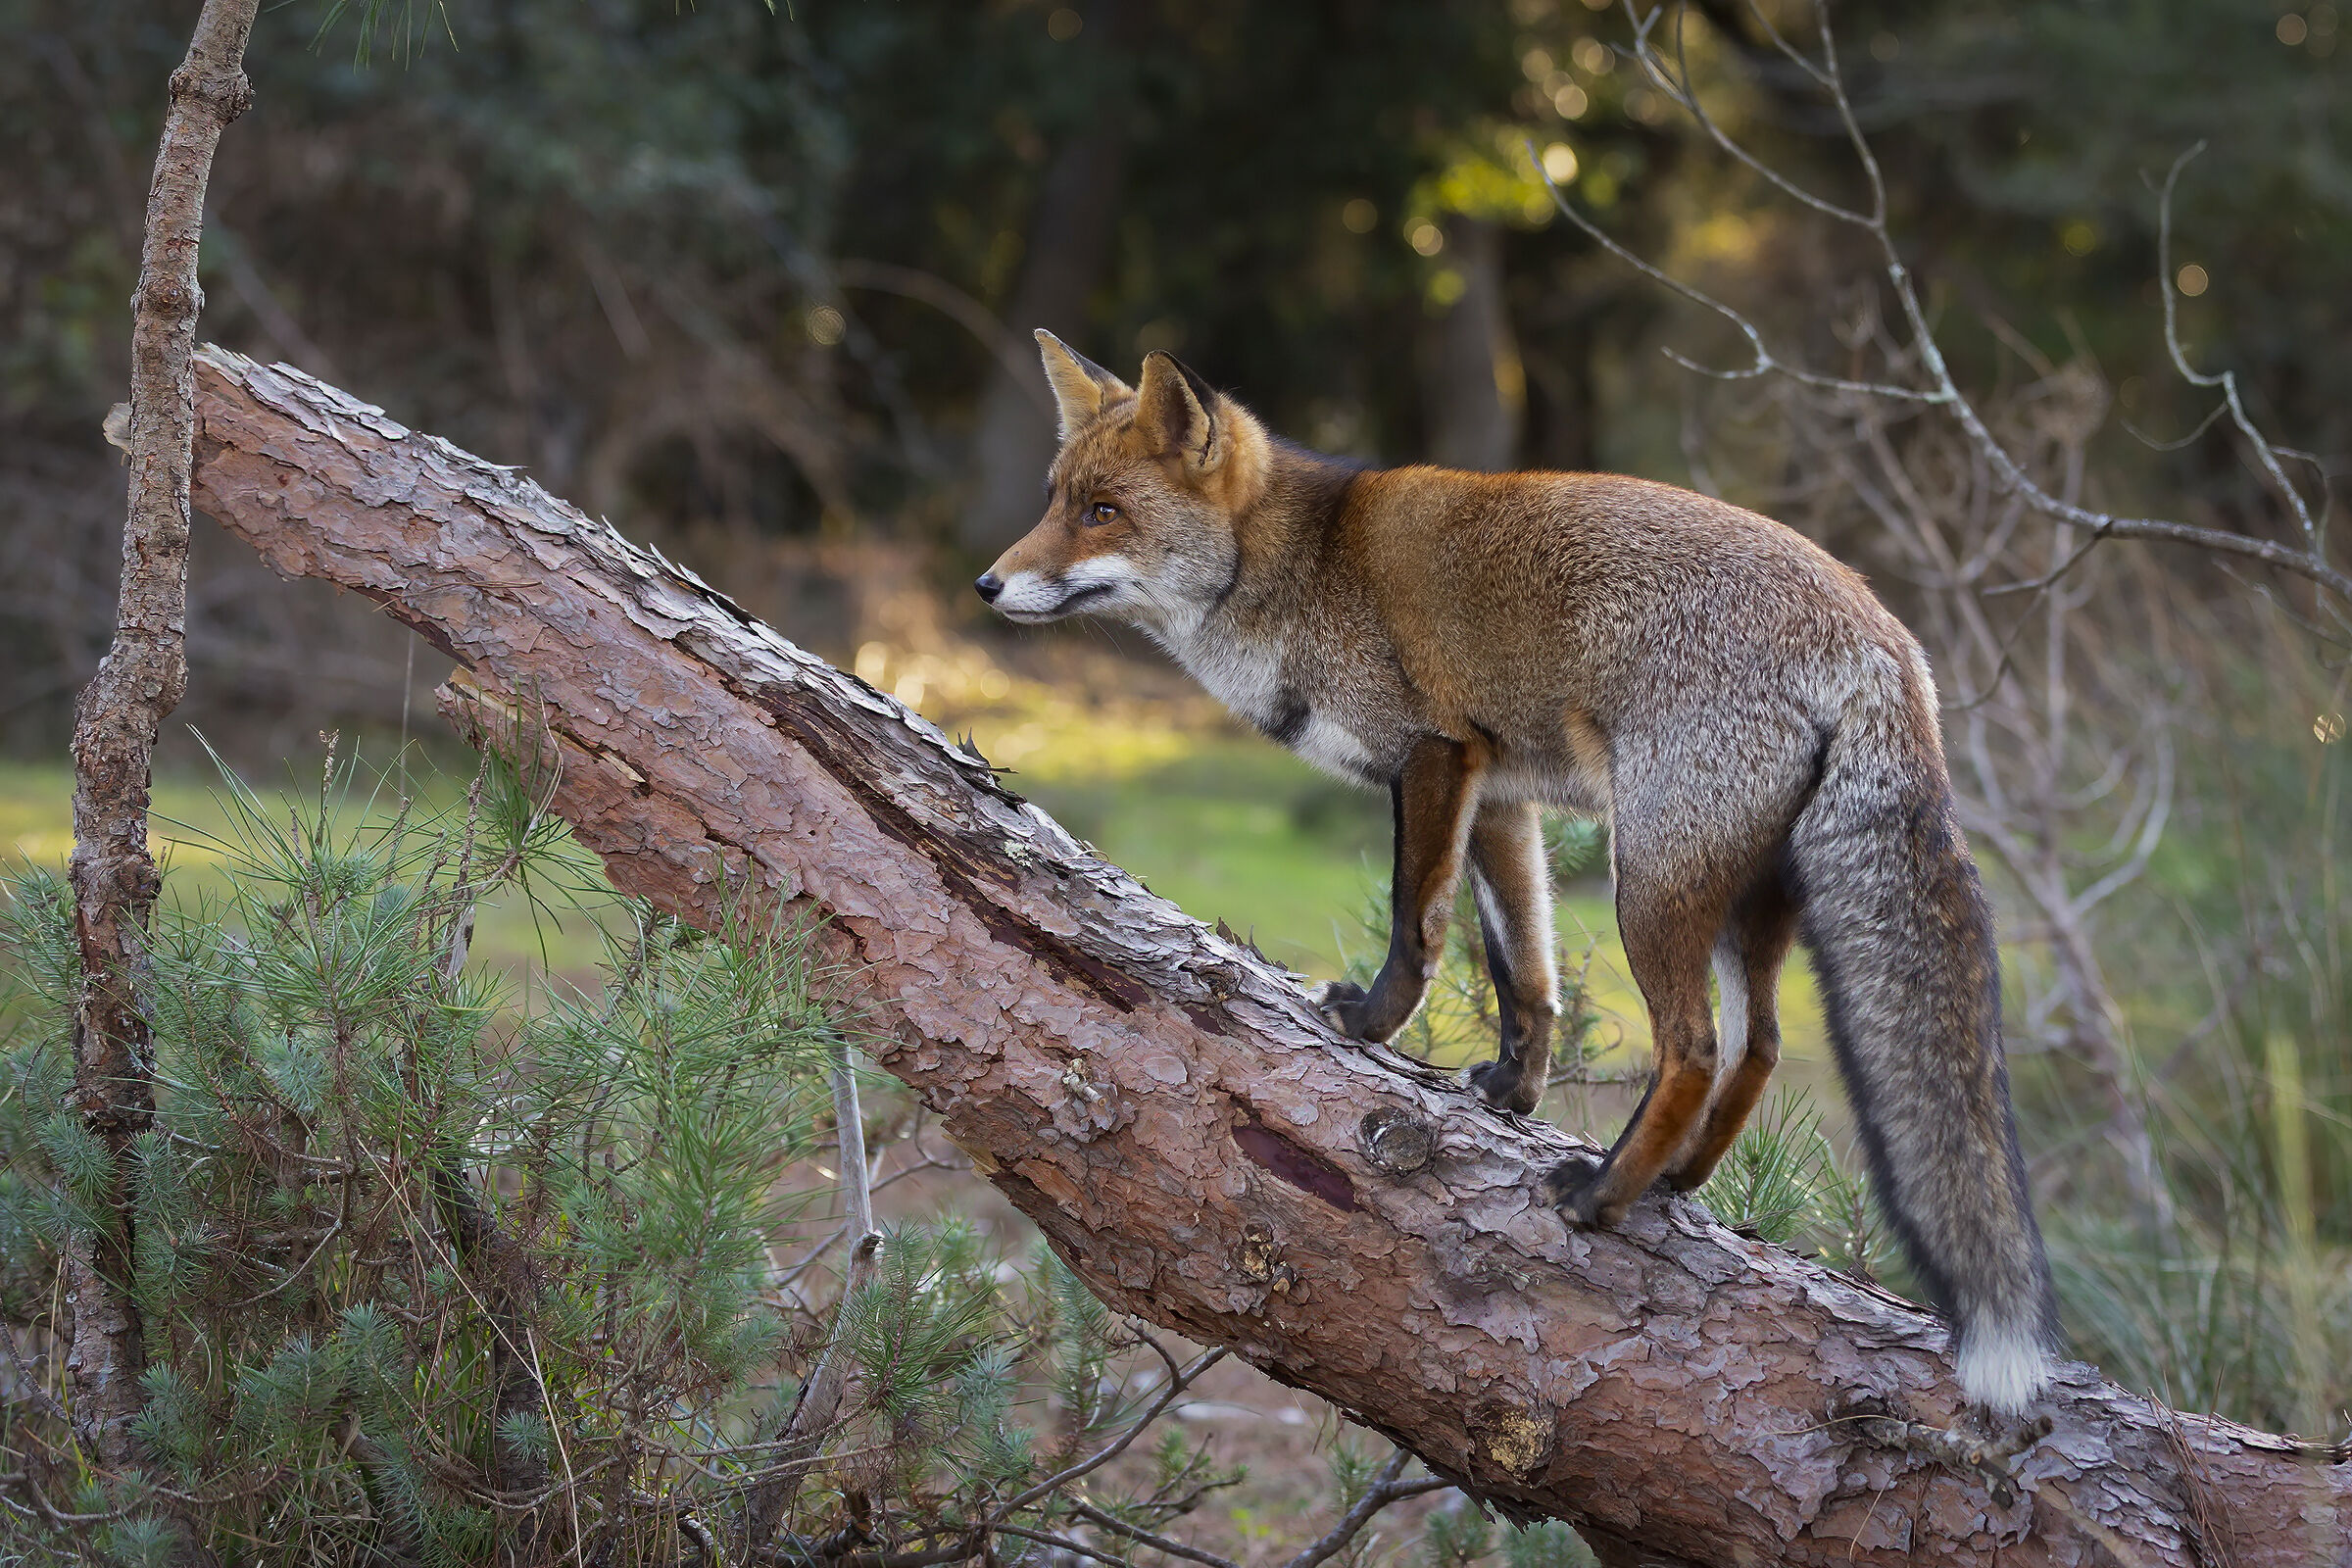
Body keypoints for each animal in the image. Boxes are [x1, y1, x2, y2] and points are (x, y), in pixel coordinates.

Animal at [975, 329, 2060, 1414]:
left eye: (1102, 513)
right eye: (1053, 499)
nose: (986, 585)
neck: (1304, 567)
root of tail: (1881, 636)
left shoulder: (1433, 753)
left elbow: (1417, 922)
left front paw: (1371, 1027)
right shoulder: (1501, 796)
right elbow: (1521, 967)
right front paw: (1512, 1090)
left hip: (1648, 881)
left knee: (1694, 1049)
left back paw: (1604, 1195)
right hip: (1740, 899)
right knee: (1759, 1048)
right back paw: (1676, 1181)